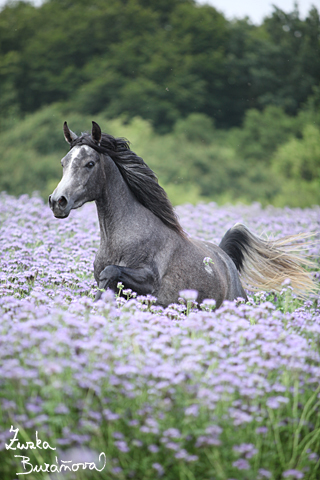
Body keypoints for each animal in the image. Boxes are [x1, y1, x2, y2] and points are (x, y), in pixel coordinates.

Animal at [48, 121, 314, 308]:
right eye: (63, 162)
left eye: (90, 163)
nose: (57, 201)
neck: (122, 240)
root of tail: (226, 258)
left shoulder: (148, 280)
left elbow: (111, 272)